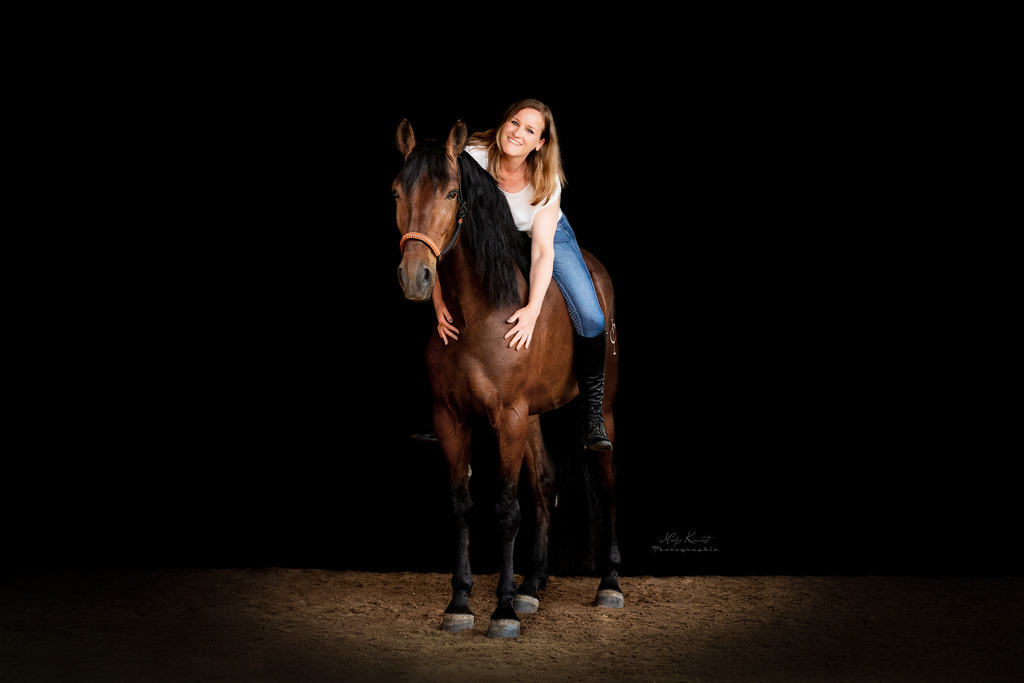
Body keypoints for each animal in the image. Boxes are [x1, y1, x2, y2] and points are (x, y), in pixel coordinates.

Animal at [392, 118, 622, 639]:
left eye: (452, 192)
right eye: (396, 191)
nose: (417, 276)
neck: (480, 311)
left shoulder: (508, 418)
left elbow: (505, 508)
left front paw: (502, 610)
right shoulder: (452, 420)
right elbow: (462, 504)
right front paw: (461, 602)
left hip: (598, 411)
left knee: (605, 484)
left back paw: (609, 583)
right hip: (531, 417)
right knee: (545, 485)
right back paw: (532, 586)